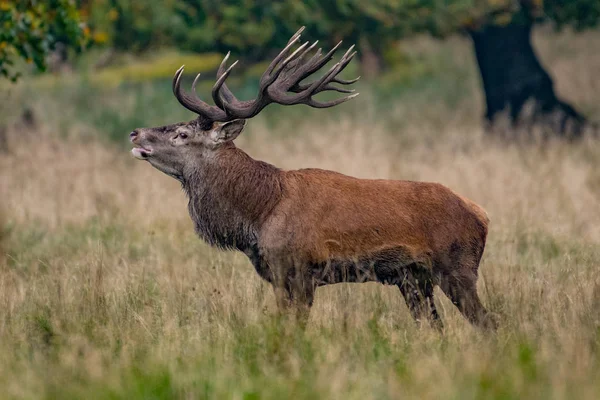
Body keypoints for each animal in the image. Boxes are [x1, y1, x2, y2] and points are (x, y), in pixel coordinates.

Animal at [130, 27, 496, 332]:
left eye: (181, 134)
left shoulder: (298, 269)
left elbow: (293, 330)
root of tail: (482, 215)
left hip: (457, 267)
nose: (135, 132)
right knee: (435, 327)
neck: (258, 215)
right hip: (413, 280)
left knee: (488, 323)